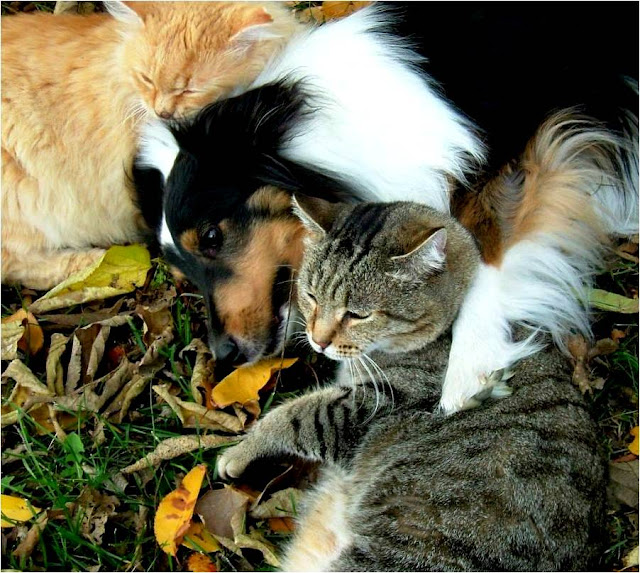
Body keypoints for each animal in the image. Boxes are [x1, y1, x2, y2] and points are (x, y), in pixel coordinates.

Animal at [136, 4, 638, 412]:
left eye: (212, 237)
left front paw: (468, 366)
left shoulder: (533, 149)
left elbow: (486, 249)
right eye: (183, 271)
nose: (225, 357)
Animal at [217, 199, 607, 571]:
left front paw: (239, 453)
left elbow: (293, 416)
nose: (318, 340)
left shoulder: (374, 405)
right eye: (312, 295)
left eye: (358, 315)